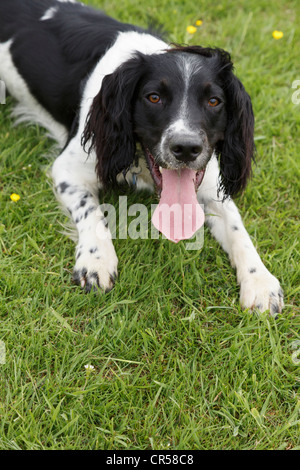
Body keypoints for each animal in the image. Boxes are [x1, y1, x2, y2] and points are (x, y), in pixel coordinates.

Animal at [0, 0, 284, 316]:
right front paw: (96, 260)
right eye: (154, 97)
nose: (186, 148)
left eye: (214, 101)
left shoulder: (211, 184)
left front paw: (260, 282)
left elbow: (238, 230)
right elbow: (91, 211)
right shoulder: (69, 168)